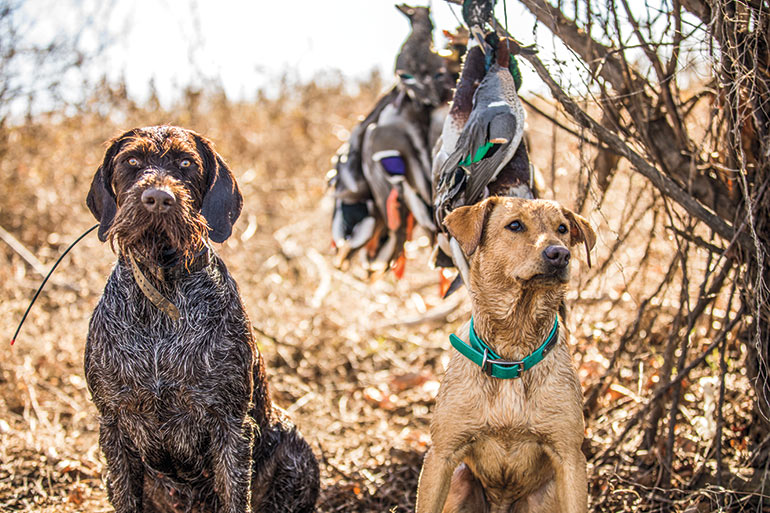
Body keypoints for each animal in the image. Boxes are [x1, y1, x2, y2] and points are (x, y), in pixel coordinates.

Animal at [87, 125, 318, 512]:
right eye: (131, 161)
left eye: (186, 163)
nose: (158, 197)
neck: (162, 292)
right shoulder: (113, 423)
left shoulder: (231, 424)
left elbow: (235, 494)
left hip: (293, 447)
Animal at [414, 196, 592, 512]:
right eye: (515, 226)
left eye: (562, 229)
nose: (560, 254)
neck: (512, 352)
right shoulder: (441, 455)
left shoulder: (570, 458)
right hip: (460, 480)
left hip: (543, 496)